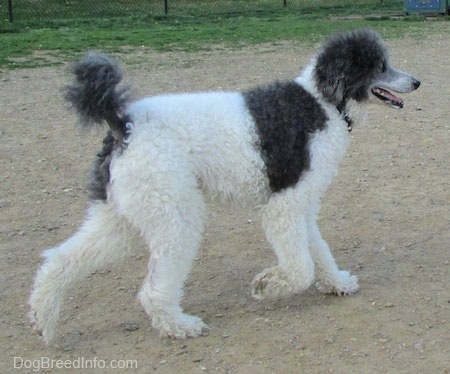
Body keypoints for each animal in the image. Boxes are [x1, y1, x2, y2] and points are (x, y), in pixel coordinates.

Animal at [29, 30, 420, 344]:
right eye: (380, 66)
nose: (416, 82)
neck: (323, 103)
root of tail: (123, 123)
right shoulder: (283, 206)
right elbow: (300, 268)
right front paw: (268, 285)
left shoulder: (301, 204)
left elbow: (317, 251)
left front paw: (336, 282)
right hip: (175, 217)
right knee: (152, 291)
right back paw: (179, 326)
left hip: (124, 217)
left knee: (60, 260)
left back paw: (43, 320)